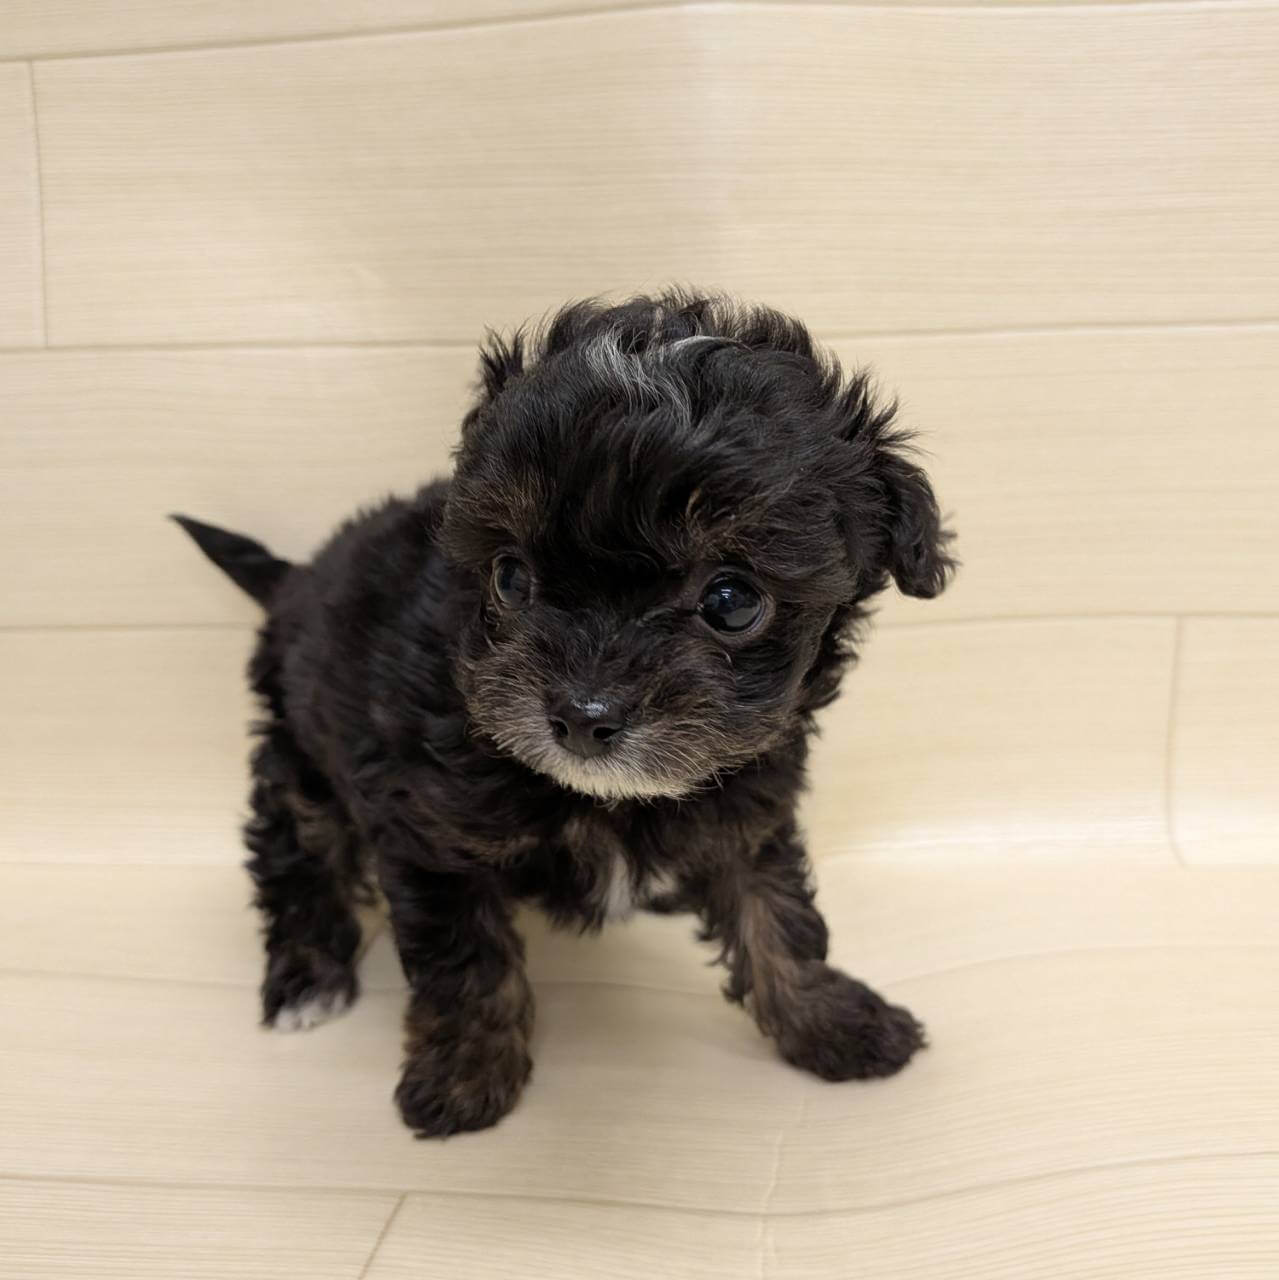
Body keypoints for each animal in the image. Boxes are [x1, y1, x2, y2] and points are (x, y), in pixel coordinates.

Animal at [174, 291, 955, 1137]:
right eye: (510, 578)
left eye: (731, 600)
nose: (583, 716)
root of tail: (297, 577)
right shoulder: (431, 832)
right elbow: (466, 960)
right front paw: (464, 1078)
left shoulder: (744, 810)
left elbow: (777, 915)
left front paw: (832, 1023)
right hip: (300, 749)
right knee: (295, 851)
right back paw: (307, 977)